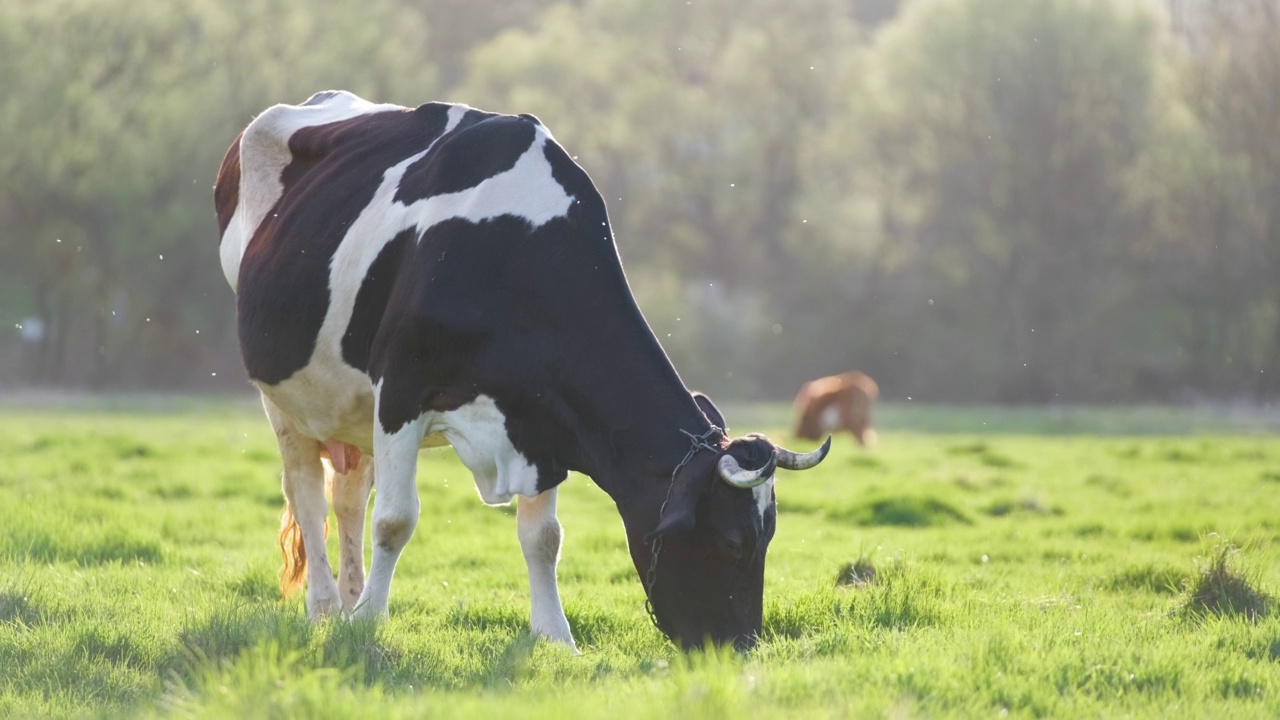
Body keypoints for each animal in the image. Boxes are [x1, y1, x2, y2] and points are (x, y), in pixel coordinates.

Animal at [213, 89, 829, 650]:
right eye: (732, 542)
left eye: (768, 539)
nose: (742, 645)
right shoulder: (401, 393)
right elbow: (394, 520)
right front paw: (368, 624)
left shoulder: (544, 422)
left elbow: (544, 537)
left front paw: (555, 637)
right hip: (284, 398)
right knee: (307, 495)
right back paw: (325, 608)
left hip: (348, 405)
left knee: (345, 498)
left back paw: (347, 598)